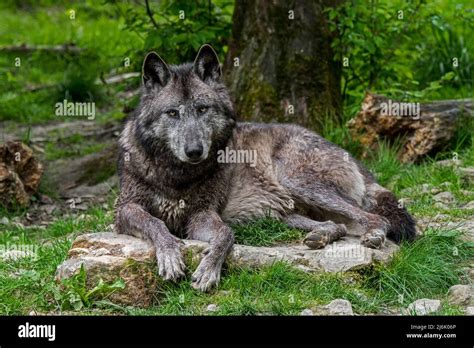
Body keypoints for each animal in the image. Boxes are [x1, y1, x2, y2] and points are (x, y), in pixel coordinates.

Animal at [114, 45, 414, 290]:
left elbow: (226, 234)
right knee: (337, 224)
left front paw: (209, 271)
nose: (194, 151)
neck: (176, 175)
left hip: (297, 182)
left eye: (202, 109)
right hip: (280, 214)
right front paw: (170, 256)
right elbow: (155, 223)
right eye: (173, 113)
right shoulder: (125, 209)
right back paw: (321, 236)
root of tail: (350, 156)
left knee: (375, 218)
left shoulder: (201, 214)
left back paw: (373, 234)